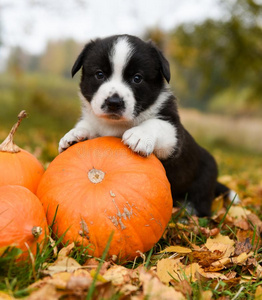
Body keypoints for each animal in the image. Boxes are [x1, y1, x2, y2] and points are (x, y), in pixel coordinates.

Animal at [58, 34, 238, 217]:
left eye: (137, 78)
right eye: (99, 74)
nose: (114, 102)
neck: (117, 124)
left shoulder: (174, 136)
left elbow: (155, 123)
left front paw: (139, 136)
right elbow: (89, 124)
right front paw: (74, 135)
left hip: (204, 180)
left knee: (202, 208)